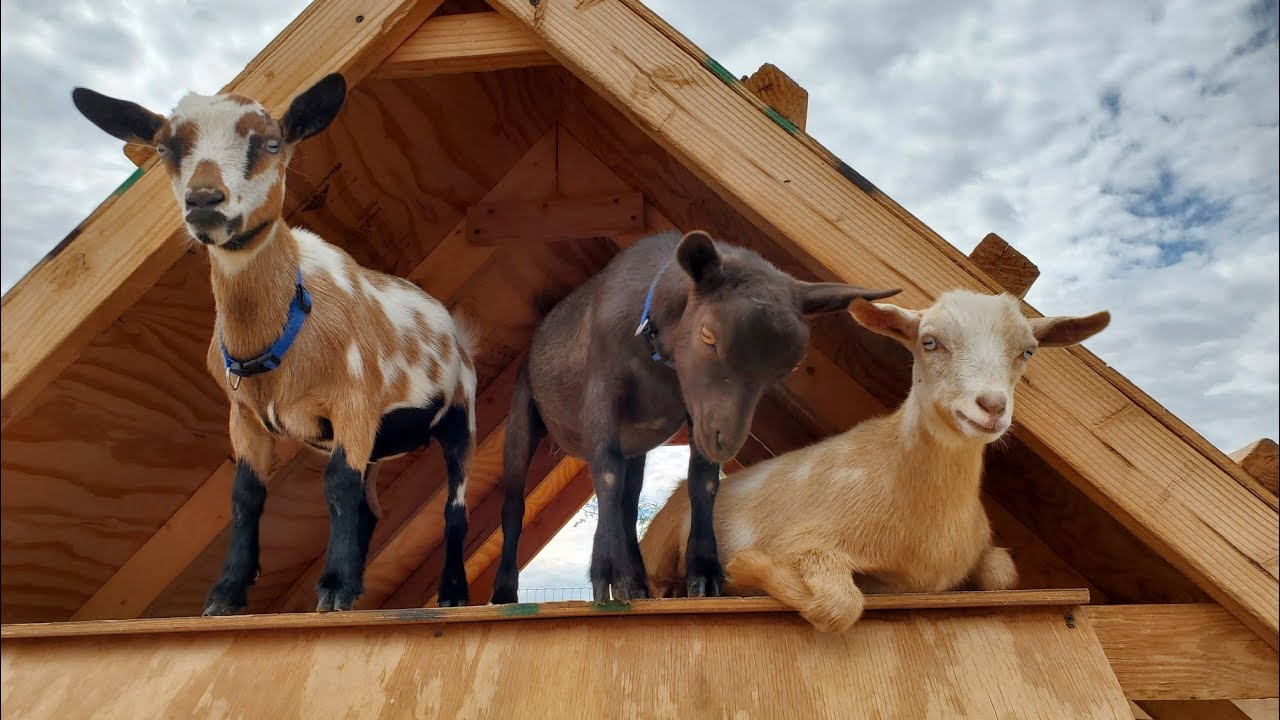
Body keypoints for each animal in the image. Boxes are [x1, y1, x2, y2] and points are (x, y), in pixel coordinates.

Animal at [72, 75, 478, 614]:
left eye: (270, 143)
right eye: (164, 147)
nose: (205, 200)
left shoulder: (354, 402)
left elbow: (337, 485)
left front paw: (332, 587)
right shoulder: (244, 416)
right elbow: (247, 495)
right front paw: (226, 595)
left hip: (460, 414)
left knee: (453, 506)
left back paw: (451, 594)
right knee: (369, 507)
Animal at [640, 290, 1109, 631]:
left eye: (1028, 351)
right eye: (929, 342)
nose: (991, 407)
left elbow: (1001, 572)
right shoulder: (808, 539)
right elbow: (842, 603)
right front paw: (745, 568)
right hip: (660, 537)